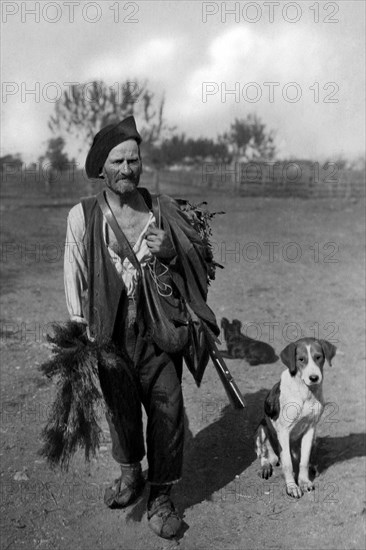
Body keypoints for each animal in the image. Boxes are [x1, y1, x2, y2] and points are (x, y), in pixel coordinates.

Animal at [254, 340, 338, 500]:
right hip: (261, 430)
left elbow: (303, 461)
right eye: (301, 359)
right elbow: (287, 464)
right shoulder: (283, 432)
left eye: (318, 357)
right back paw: (266, 466)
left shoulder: (310, 428)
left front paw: (304, 482)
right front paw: (292, 487)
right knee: (263, 454)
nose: (314, 378)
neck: (306, 392)